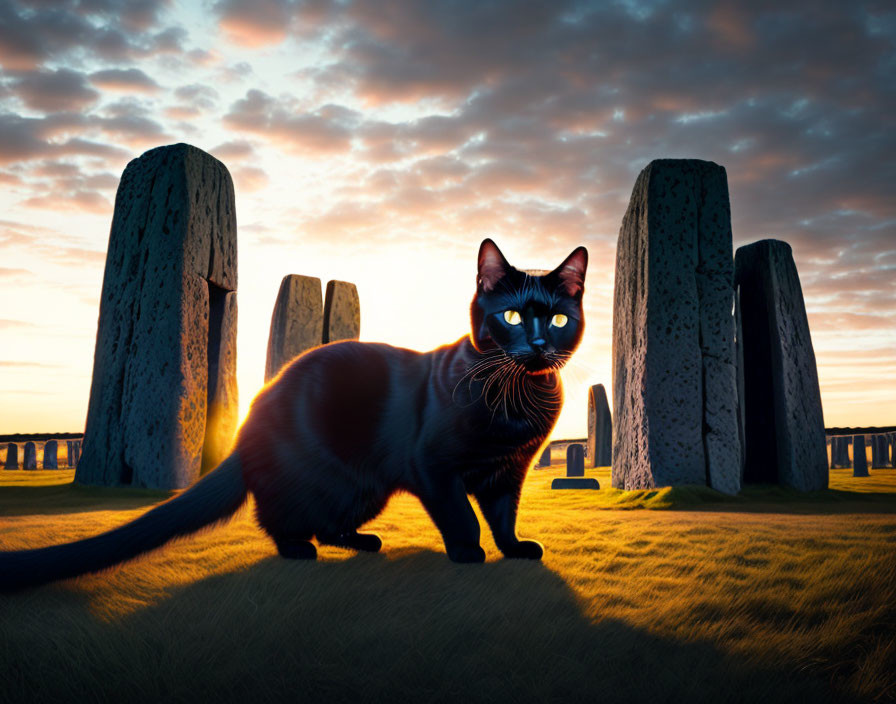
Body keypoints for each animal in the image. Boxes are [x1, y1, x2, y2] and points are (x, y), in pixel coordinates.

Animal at [1, 239, 588, 592]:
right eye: (510, 316)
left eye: (559, 319)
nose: (538, 344)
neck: (519, 399)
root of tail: (252, 415)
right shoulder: (434, 467)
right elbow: (461, 513)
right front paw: (468, 552)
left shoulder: (509, 472)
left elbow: (504, 514)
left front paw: (514, 549)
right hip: (332, 478)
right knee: (278, 516)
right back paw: (298, 550)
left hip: (362, 490)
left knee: (326, 522)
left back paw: (363, 543)